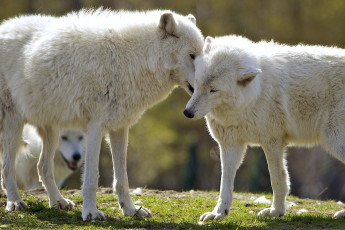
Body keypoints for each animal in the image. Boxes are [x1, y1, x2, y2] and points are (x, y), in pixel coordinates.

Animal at [0, 9, 203, 221]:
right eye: (192, 55)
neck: (132, 59)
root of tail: (4, 27)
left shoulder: (120, 128)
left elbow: (122, 178)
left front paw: (130, 210)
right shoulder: (95, 128)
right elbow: (91, 178)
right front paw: (91, 212)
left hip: (51, 129)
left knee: (42, 167)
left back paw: (58, 201)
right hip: (14, 124)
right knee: (7, 169)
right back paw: (15, 202)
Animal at [184, 35, 344, 221]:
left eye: (213, 90)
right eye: (197, 83)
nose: (187, 112)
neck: (252, 97)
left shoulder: (272, 142)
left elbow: (277, 180)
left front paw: (276, 211)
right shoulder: (230, 145)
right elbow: (225, 183)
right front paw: (219, 213)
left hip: (334, 141)